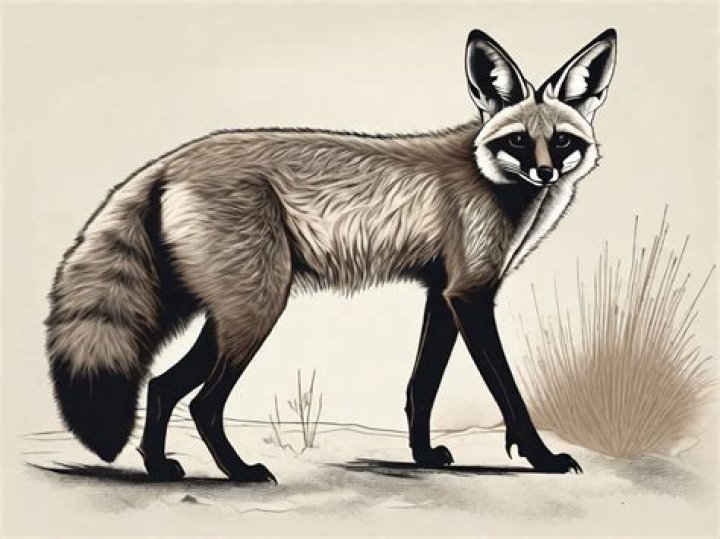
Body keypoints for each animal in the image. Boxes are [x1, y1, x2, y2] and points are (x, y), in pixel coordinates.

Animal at [46, 29, 617, 483]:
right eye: (519, 141)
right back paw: (238, 472)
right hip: (256, 311)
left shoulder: (443, 293)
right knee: (204, 403)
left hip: (219, 312)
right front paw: (542, 457)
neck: (488, 178)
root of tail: (170, 160)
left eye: (561, 141)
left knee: (162, 387)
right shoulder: (471, 294)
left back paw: (159, 467)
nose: (546, 173)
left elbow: (422, 385)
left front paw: (423, 455)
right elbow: (510, 395)